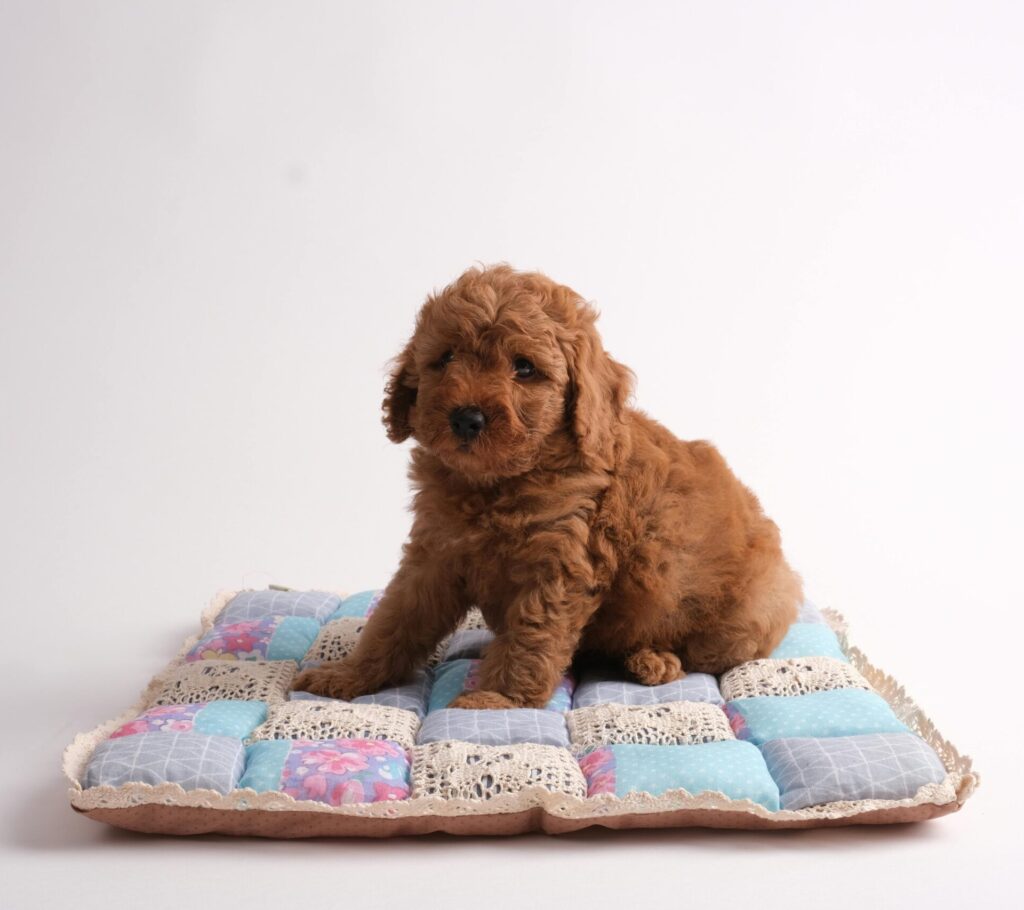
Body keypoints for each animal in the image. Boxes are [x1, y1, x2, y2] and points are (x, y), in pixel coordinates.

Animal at [292, 266, 802, 708]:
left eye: (524, 368)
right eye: (445, 358)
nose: (466, 417)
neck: (497, 485)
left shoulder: (560, 564)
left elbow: (531, 634)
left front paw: (498, 698)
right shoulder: (435, 554)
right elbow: (395, 618)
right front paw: (349, 676)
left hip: (745, 613)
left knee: (702, 656)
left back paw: (654, 658)